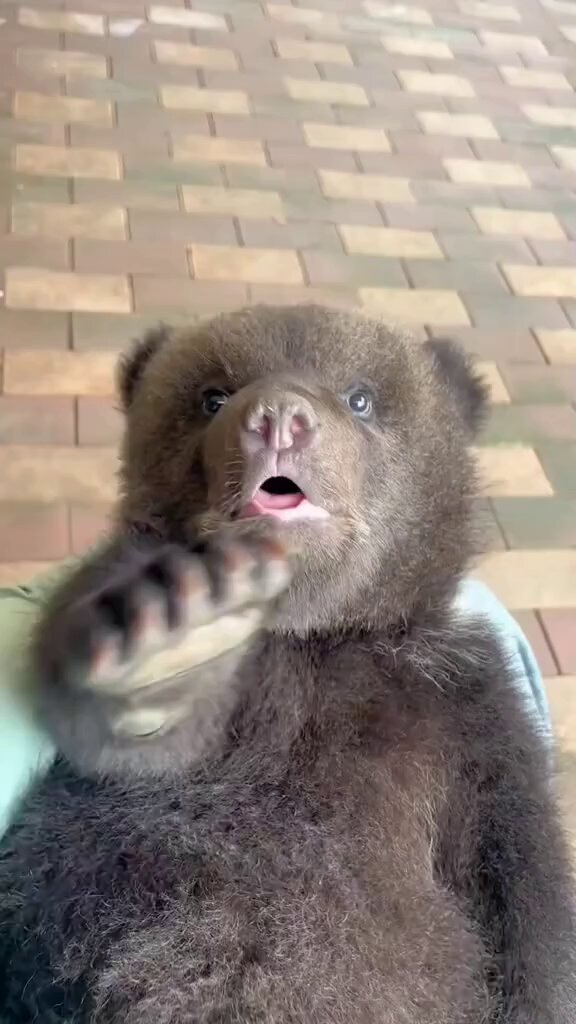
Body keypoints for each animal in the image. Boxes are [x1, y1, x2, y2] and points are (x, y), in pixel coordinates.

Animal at [0, 303, 574, 1024]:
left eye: (360, 399)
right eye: (212, 396)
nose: (277, 416)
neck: (306, 638)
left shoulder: (466, 714)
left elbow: (524, 891)